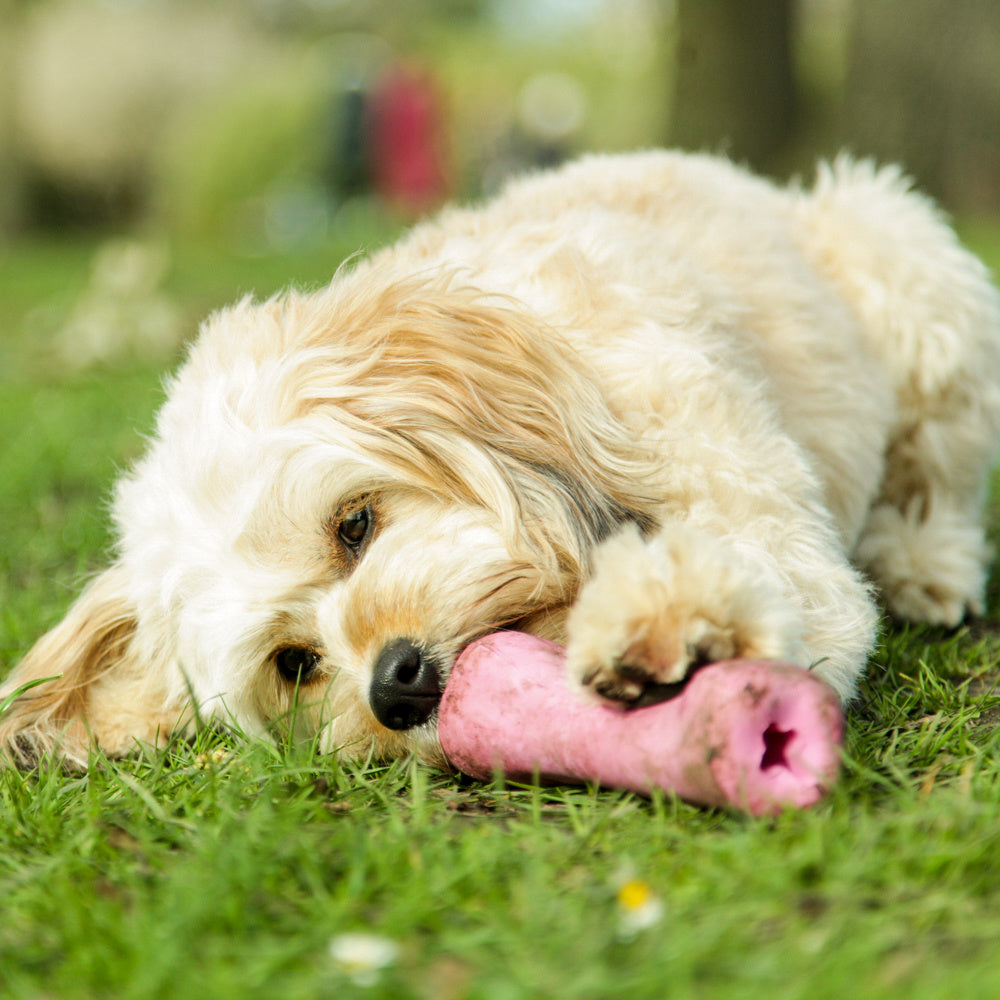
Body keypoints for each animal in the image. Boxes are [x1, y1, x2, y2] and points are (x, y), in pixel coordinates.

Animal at [5, 150, 1000, 772]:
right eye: (294, 663)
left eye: (354, 524)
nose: (396, 685)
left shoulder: (723, 465)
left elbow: (777, 572)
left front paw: (674, 621)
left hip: (904, 261)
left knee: (938, 468)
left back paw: (923, 561)